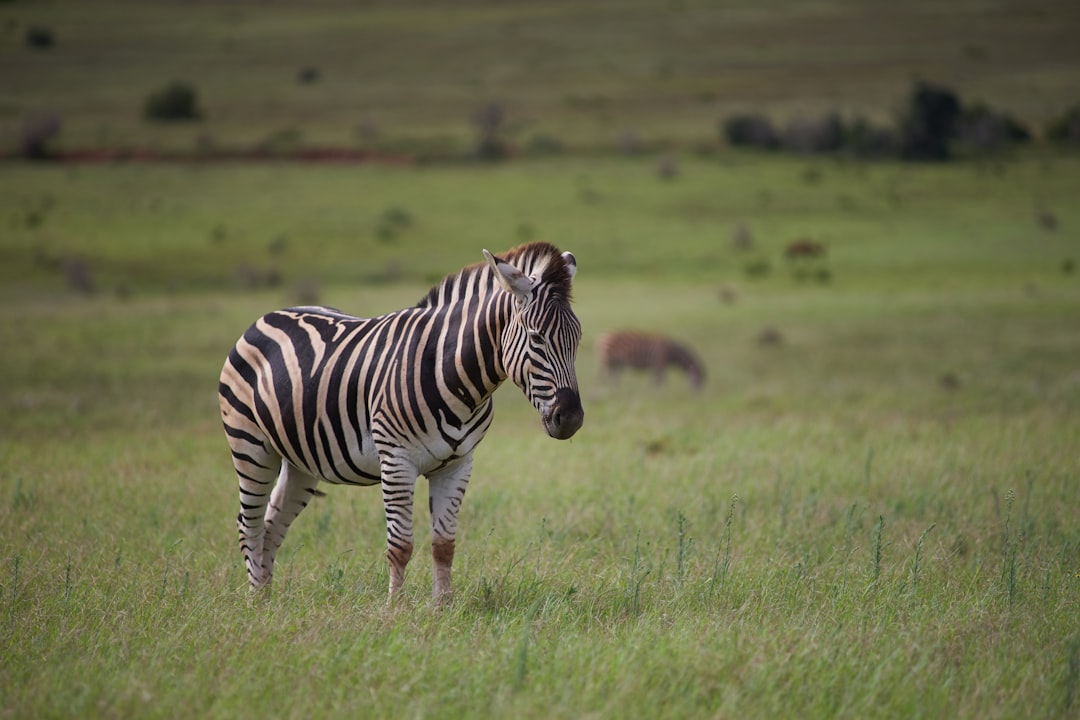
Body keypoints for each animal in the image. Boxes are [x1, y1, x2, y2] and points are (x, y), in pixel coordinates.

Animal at [218, 241, 583, 604]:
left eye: (577, 339)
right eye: (536, 339)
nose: (572, 419)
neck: (455, 377)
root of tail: (270, 315)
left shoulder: (458, 463)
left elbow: (444, 544)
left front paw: (443, 607)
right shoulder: (397, 460)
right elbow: (400, 546)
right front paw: (395, 608)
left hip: (301, 460)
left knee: (272, 525)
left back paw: (268, 598)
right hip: (250, 445)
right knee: (248, 524)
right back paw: (255, 600)